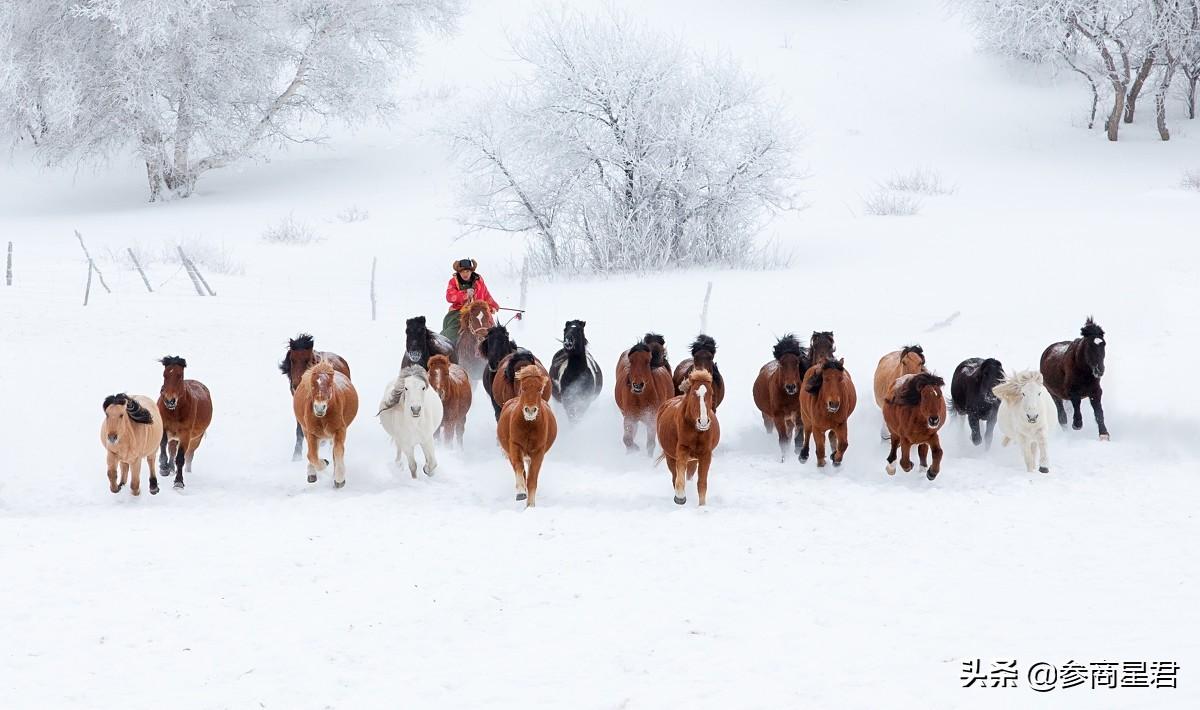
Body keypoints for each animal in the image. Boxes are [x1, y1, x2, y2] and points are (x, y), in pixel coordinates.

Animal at [154, 355, 213, 489]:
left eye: (180, 375)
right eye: (164, 374)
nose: (169, 400)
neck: (174, 411)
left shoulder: (185, 434)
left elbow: (181, 457)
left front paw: (178, 482)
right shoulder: (164, 428)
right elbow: (163, 445)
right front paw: (164, 468)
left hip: (196, 439)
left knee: (189, 455)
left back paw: (187, 471)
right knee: (171, 450)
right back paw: (170, 468)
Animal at [292, 359, 357, 489]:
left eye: (330, 385)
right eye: (312, 386)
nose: (319, 408)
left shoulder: (339, 430)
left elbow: (337, 451)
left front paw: (339, 479)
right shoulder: (311, 433)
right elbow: (311, 454)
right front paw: (323, 464)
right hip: (306, 430)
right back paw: (312, 473)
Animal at [496, 362, 556, 508]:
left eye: (540, 390)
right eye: (523, 389)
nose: (530, 410)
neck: (529, 426)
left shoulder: (538, 452)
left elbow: (532, 479)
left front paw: (530, 505)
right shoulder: (515, 446)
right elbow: (519, 468)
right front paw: (521, 493)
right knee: (519, 469)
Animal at [657, 369, 720, 508]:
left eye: (711, 393)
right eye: (693, 394)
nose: (703, 422)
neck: (697, 431)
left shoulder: (705, 455)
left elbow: (702, 484)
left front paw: (702, 506)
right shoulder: (682, 449)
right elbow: (680, 476)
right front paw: (680, 498)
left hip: (693, 460)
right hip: (670, 457)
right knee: (674, 476)